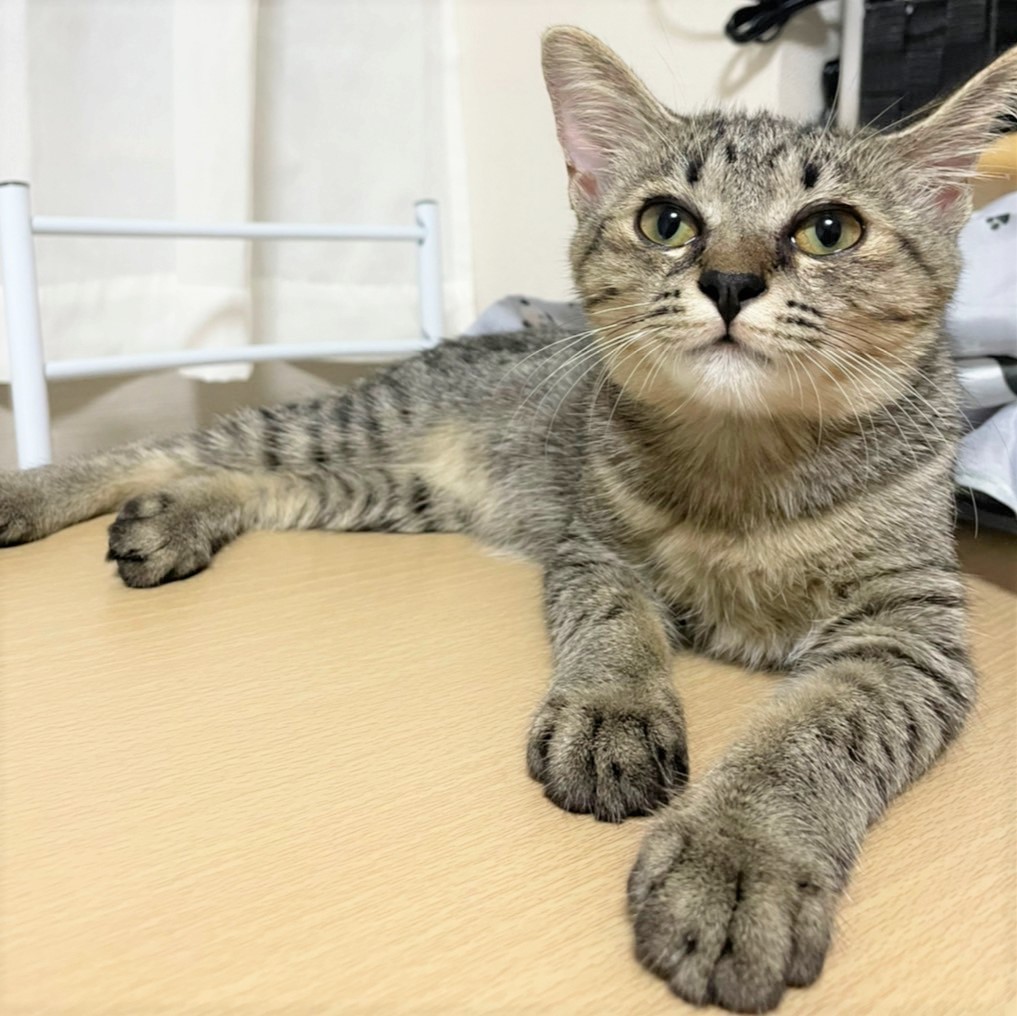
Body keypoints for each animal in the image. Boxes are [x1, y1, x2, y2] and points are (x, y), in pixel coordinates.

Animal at [2, 25, 1015, 1012]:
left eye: (830, 230)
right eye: (666, 222)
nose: (728, 280)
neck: (744, 462)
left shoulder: (909, 630)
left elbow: (815, 729)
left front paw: (739, 855)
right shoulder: (594, 551)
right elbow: (613, 629)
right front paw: (613, 714)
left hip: (383, 489)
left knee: (245, 479)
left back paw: (172, 520)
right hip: (354, 429)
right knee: (178, 445)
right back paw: (35, 495)